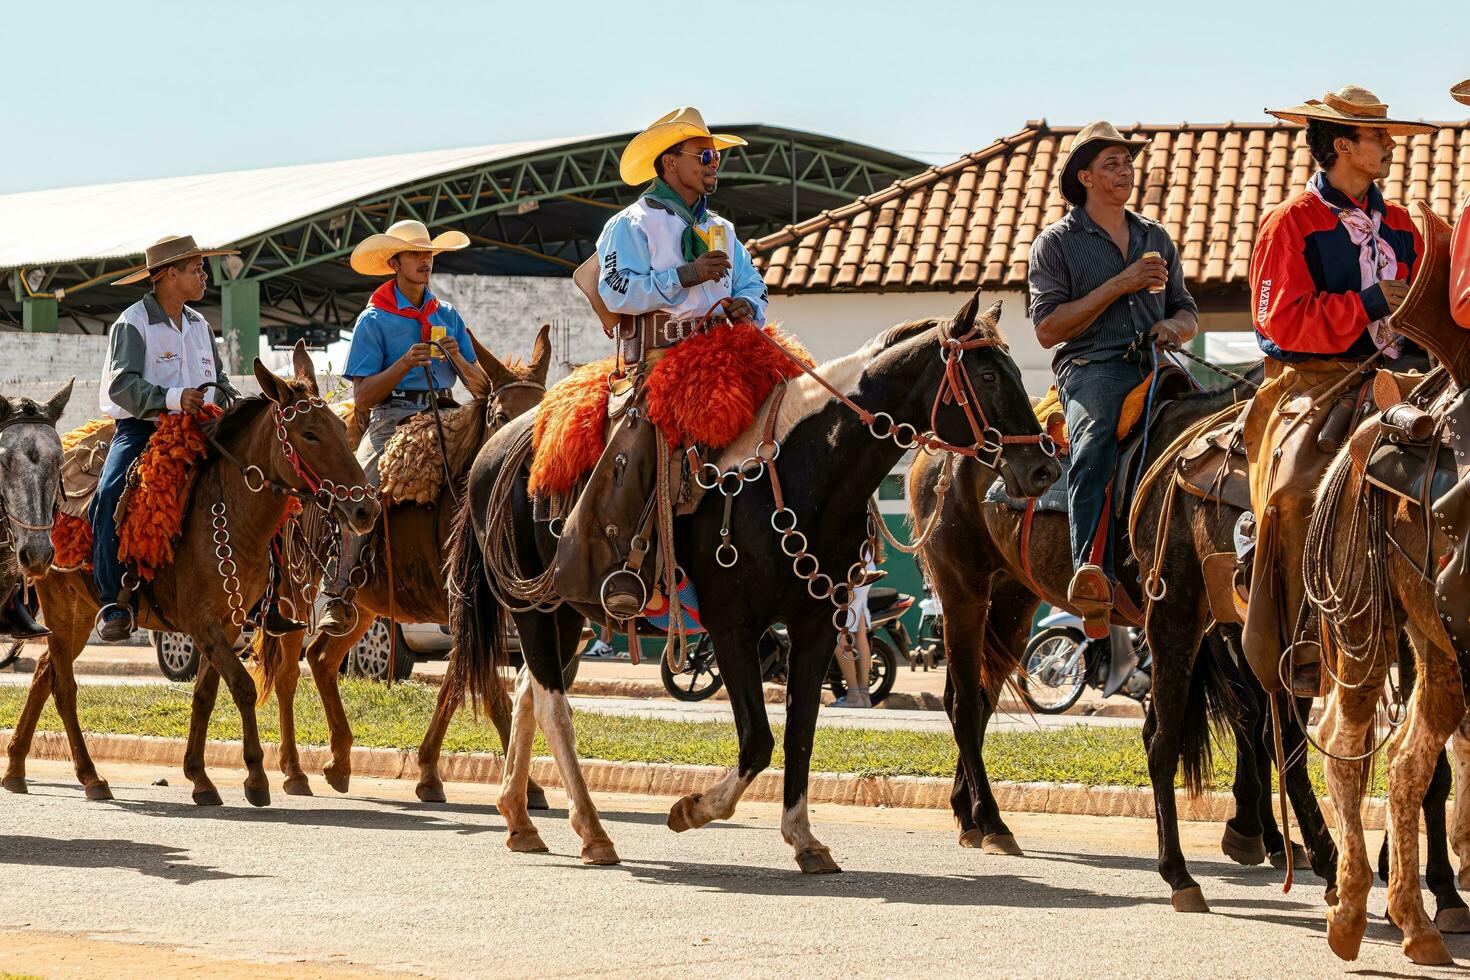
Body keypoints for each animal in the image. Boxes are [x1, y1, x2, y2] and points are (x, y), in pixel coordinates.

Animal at [2, 345, 379, 805]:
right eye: (309, 434)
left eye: (342, 431)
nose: (366, 509)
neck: (231, 513)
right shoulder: (202, 621)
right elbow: (243, 686)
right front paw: (256, 777)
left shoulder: (227, 622)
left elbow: (206, 693)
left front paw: (199, 776)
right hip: (61, 605)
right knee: (63, 687)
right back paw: (90, 776)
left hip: (77, 614)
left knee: (43, 675)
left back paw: (17, 768)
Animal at [441, 295, 1064, 869]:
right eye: (988, 375)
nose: (1043, 469)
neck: (800, 472)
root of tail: (499, 447)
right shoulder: (731, 626)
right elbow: (759, 740)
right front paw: (692, 809)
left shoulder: (817, 626)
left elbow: (800, 732)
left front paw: (805, 838)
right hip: (532, 606)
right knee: (553, 705)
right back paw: (592, 830)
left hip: (568, 612)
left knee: (529, 692)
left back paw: (520, 819)